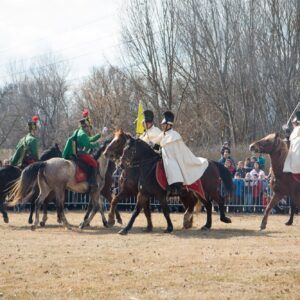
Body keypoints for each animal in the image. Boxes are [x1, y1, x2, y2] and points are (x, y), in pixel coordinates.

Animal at [104, 129, 233, 234]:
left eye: (117, 142)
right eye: (123, 147)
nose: (106, 153)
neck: (145, 168)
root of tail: (212, 162)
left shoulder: (154, 194)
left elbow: (158, 210)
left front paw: (168, 227)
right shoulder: (140, 193)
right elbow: (128, 205)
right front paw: (117, 223)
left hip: (210, 190)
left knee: (219, 200)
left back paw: (223, 219)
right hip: (197, 192)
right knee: (206, 205)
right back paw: (204, 225)